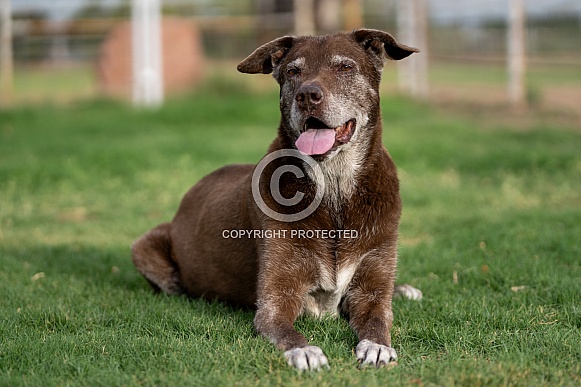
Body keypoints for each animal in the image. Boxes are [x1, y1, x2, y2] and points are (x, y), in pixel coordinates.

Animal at [131, 28, 422, 372]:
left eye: (345, 67)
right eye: (293, 72)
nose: (307, 95)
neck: (333, 186)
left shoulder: (372, 289)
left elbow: (378, 319)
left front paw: (376, 346)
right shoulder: (275, 300)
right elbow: (284, 327)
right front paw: (304, 351)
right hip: (144, 246)